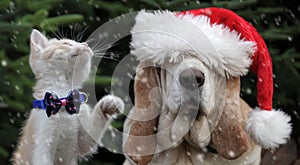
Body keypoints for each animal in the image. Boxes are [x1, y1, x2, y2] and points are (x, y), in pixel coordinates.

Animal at [12, 29, 124, 164]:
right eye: (66, 43)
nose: (86, 44)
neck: (64, 100)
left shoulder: (83, 142)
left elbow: (92, 134)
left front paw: (108, 104)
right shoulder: (42, 148)